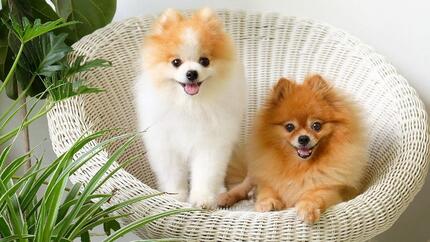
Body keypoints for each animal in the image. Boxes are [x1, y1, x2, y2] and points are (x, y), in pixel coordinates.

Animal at [136, 8, 247, 209]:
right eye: (176, 62)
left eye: (204, 61)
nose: (191, 73)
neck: (190, 105)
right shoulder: (167, 144)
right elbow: (173, 175)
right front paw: (175, 197)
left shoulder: (209, 144)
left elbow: (205, 174)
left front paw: (203, 198)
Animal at [220, 74, 368, 224]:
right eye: (289, 127)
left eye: (316, 126)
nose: (303, 138)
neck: (298, 165)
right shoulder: (267, 178)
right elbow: (267, 191)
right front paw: (266, 203)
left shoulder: (329, 187)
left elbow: (315, 196)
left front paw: (308, 209)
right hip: (253, 173)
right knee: (242, 187)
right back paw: (226, 197)